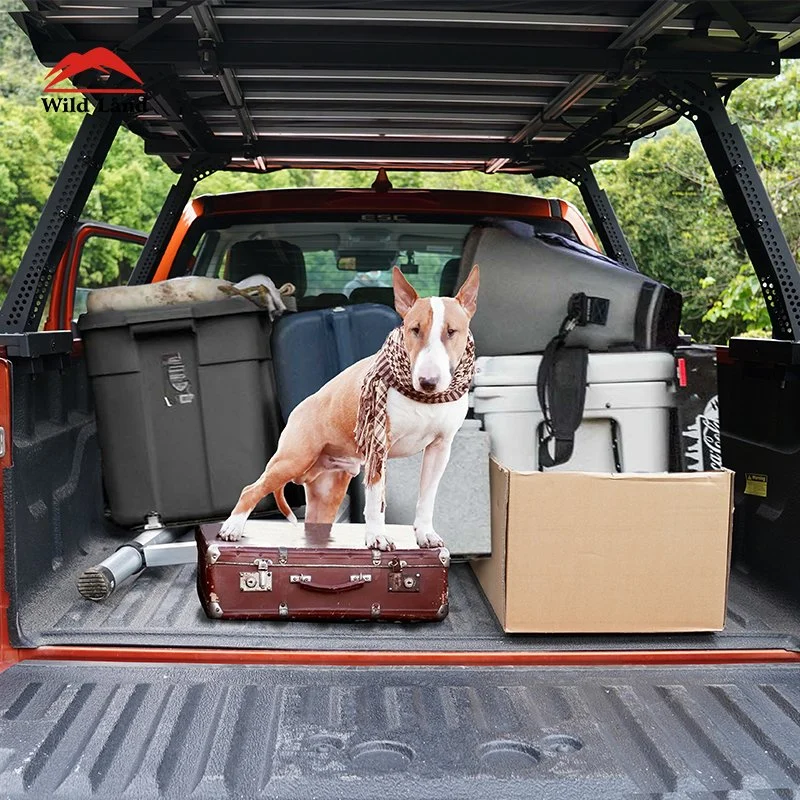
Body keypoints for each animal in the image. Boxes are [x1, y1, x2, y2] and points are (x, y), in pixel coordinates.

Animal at [219, 264, 478, 552]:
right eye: (415, 330)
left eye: (451, 332)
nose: (427, 382)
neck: (424, 399)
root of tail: (299, 409)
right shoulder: (379, 445)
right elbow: (375, 499)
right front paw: (377, 537)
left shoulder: (440, 448)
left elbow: (427, 497)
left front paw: (425, 534)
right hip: (292, 459)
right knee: (251, 489)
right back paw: (232, 528)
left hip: (327, 491)